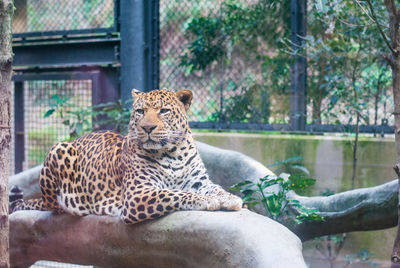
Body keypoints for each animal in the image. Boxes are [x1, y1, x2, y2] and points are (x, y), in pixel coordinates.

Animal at [10, 89, 244, 223]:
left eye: (164, 111)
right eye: (140, 111)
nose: (147, 128)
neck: (172, 153)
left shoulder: (198, 181)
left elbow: (215, 188)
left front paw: (229, 198)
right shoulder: (137, 194)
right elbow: (177, 194)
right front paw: (208, 201)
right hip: (59, 149)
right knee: (55, 207)